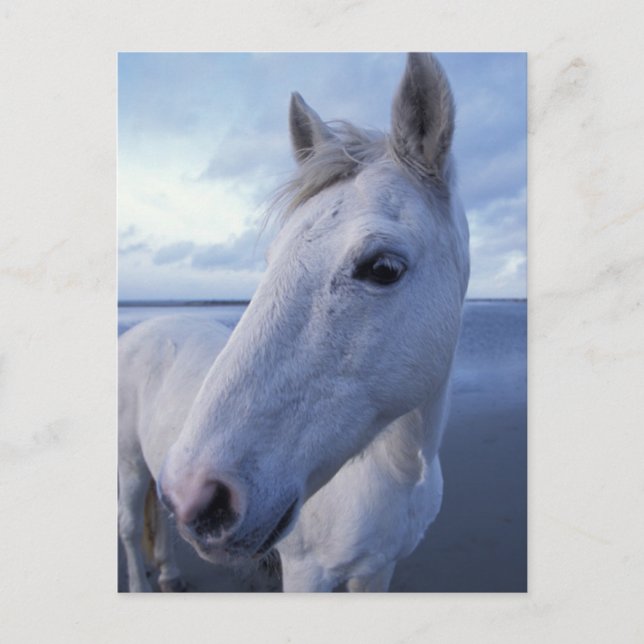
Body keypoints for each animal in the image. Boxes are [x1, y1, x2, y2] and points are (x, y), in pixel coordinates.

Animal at [118, 52, 470, 592]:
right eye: (271, 258)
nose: (199, 494)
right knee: (130, 527)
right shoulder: (306, 573)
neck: (397, 471)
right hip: (130, 466)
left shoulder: (378, 570)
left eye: (384, 268)